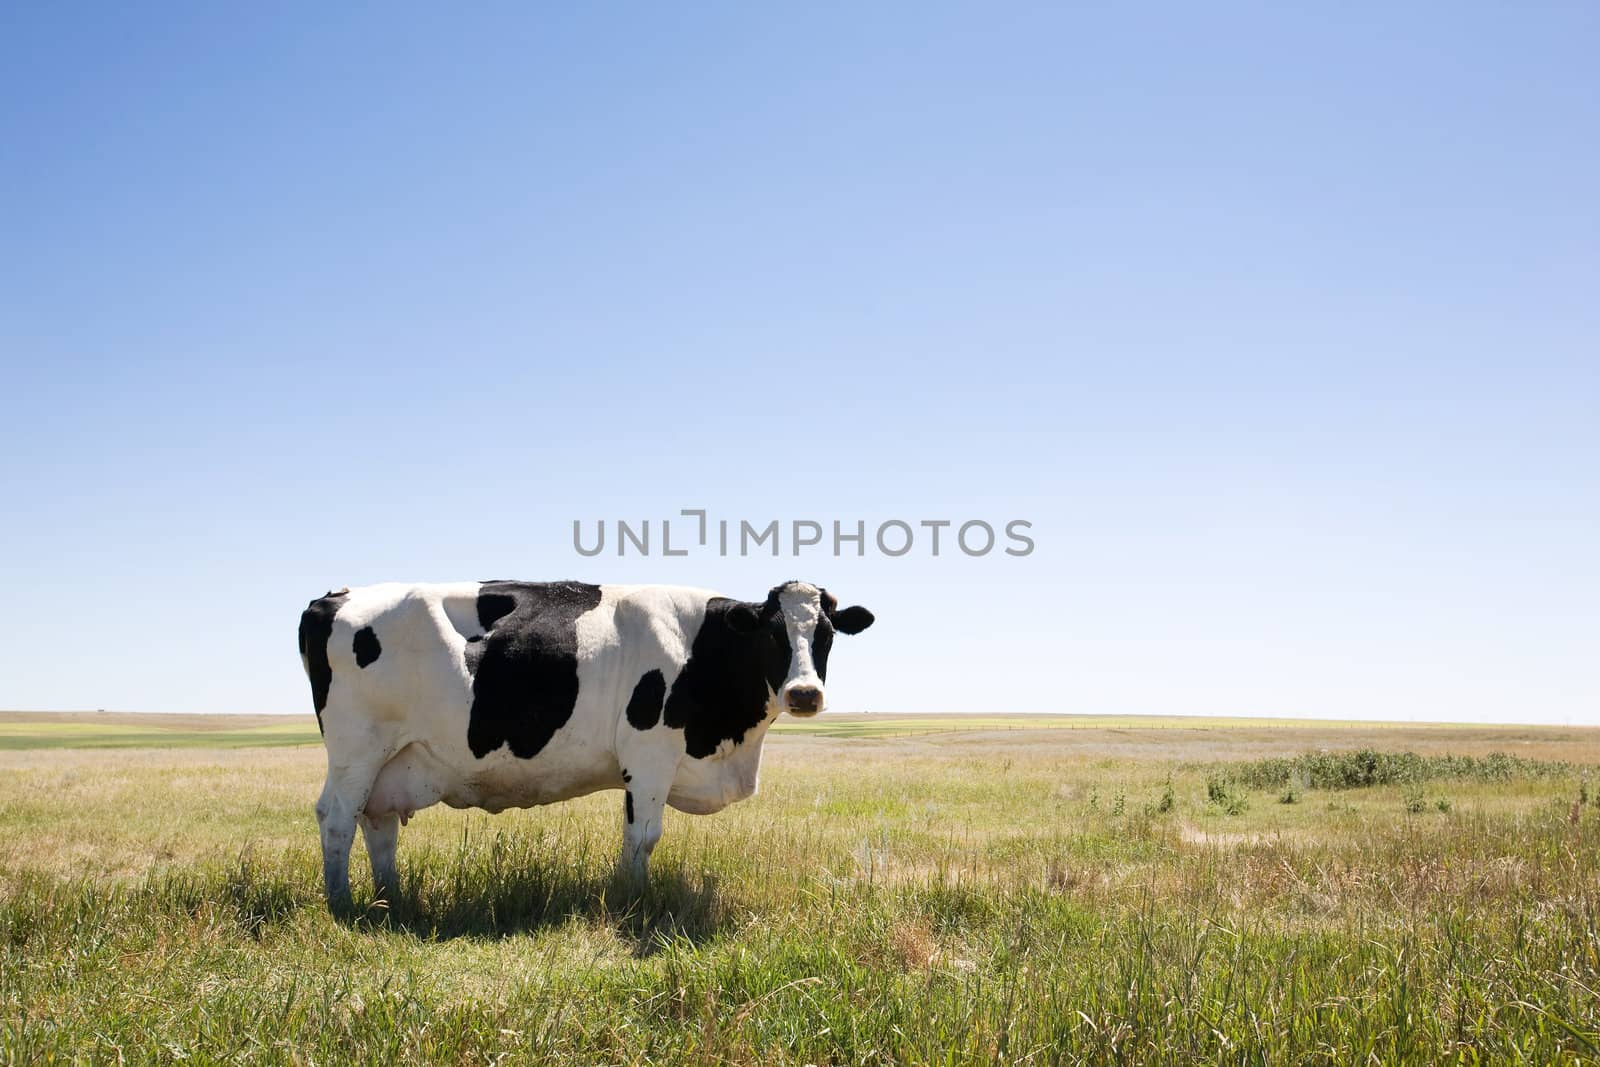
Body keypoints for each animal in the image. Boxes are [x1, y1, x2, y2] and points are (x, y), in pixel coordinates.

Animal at [300, 579, 876, 908]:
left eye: (826, 635)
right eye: (772, 635)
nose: (804, 693)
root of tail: (334, 596)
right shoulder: (649, 754)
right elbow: (642, 837)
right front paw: (633, 900)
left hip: (391, 760)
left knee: (376, 823)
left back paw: (390, 899)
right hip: (357, 748)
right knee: (337, 817)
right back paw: (342, 904)